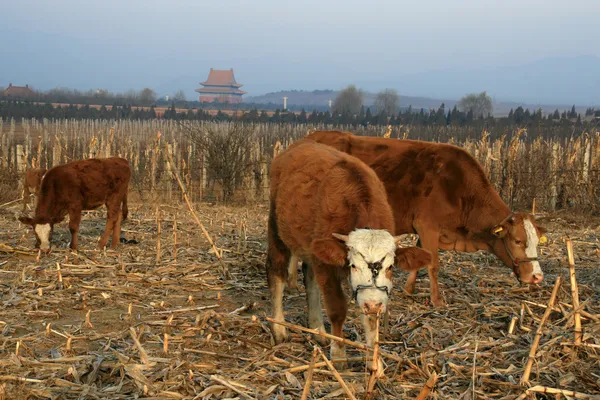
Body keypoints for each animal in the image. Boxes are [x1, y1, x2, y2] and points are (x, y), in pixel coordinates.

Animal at [268, 140, 432, 372]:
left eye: (390, 267)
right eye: (353, 265)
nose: (373, 304)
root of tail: (301, 144)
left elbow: (371, 320)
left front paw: (375, 362)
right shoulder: (326, 265)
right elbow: (337, 308)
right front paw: (338, 354)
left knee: (310, 278)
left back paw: (318, 329)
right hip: (276, 229)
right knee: (277, 272)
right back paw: (279, 327)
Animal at [308, 130, 548, 306]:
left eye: (536, 242)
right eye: (517, 241)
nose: (537, 277)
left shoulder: (423, 229)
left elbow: (419, 256)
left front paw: (409, 289)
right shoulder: (428, 226)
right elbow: (433, 264)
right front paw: (437, 300)